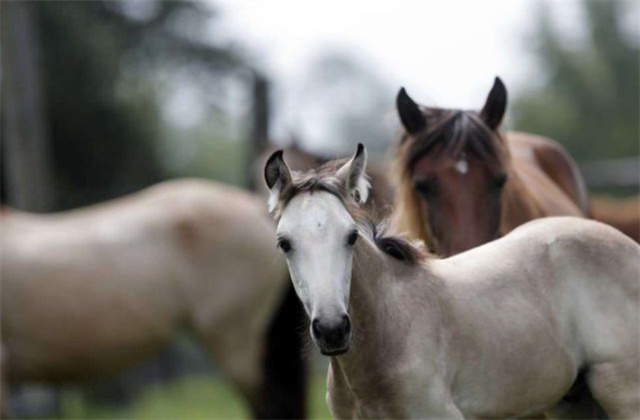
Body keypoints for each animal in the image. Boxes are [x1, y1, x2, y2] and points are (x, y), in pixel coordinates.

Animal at [264, 145, 640, 420]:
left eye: (351, 236)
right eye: (284, 243)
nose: (332, 330)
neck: (392, 333)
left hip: (621, 393)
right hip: (573, 403)